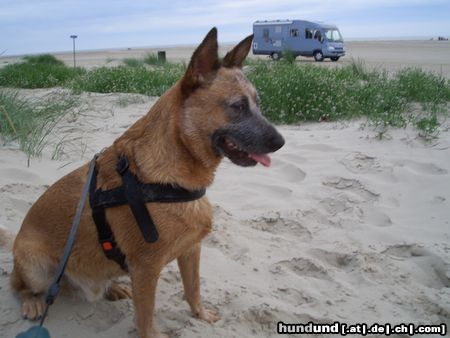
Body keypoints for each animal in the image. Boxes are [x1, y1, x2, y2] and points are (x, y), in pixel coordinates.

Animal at [8, 27, 284, 336]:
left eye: (258, 105)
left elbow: (193, 289)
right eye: (237, 107)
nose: (281, 142)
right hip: (36, 266)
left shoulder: (190, 250)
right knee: (17, 284)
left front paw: (200, 315)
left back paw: (112, 288)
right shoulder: (146, 269)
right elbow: (145, 316)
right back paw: (32, 302)